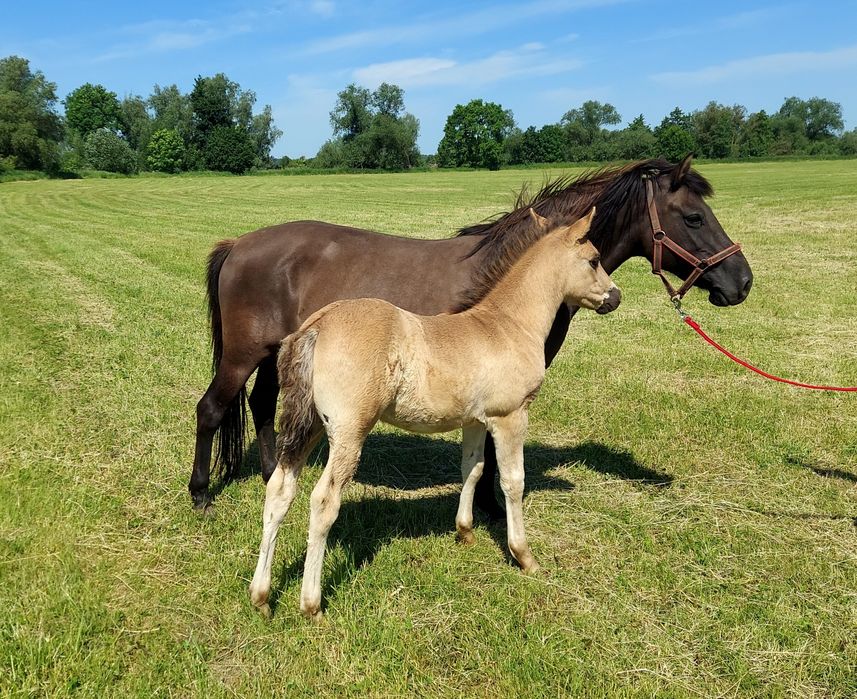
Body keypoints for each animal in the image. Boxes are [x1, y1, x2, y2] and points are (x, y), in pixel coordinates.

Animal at [191, 154, 752, 516]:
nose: (742, 282)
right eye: (694, 216)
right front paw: (493, 509)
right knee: (213, 408)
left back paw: (271, 474)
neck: (518, 281)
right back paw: (200, 495)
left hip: (275, 354)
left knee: (262, 405)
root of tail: (239, 243)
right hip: (243, 354)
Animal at [251, 208, 620, 616]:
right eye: (594, 260)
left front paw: (465, 532)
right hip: (349, 431)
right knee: (323, 501)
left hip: (312, 424)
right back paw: (311, 604)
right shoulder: (510, 416)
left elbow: (472, 469)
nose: (615, 296)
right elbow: (513, 481)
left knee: (279, 489)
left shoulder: (475, 421)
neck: (507, 325)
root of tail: (317, 325)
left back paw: (262, 597)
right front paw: (525, 557)